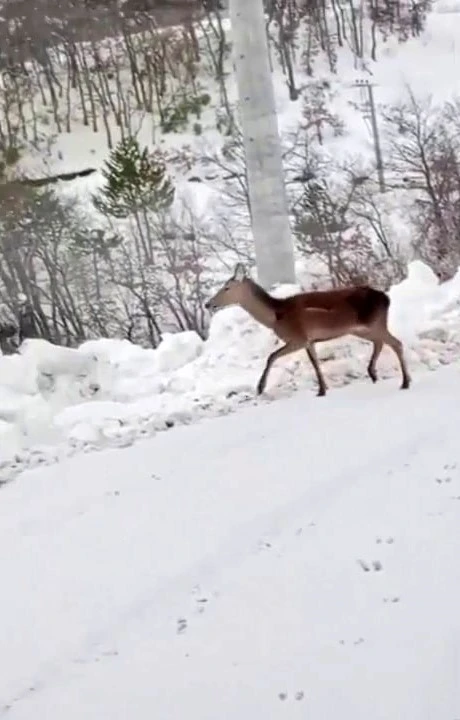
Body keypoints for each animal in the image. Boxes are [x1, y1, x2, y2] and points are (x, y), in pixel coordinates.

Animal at [205, 262, 410, 400]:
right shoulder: (309, 341)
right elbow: (315, 363)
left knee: (396, 343)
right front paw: (322, 390)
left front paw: (260, 388)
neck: (275, 317)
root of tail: (386, 298)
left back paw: (405, 382)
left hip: (375, 322)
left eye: (227, 287)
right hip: (362, 329)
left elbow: (271, 356)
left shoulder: (298, 338)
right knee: (381, 342)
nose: (208, 304)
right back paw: (374, 374)